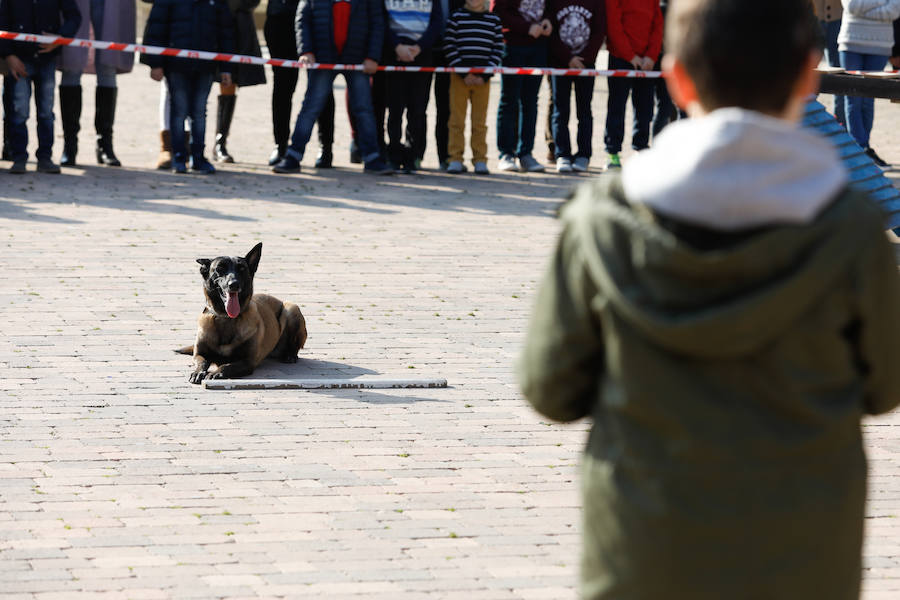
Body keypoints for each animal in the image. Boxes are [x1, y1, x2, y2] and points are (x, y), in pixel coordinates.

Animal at [176, 243, 310, 384]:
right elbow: (201, 362)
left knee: (295, 346)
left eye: (242, 269)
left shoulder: (247, 362)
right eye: (220, 268)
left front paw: (216, 373)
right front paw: (197, 372)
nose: (234, 284)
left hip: (292, 310)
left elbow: (227, 366)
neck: (226, 318)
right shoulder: (199, 354)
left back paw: (290, 355)